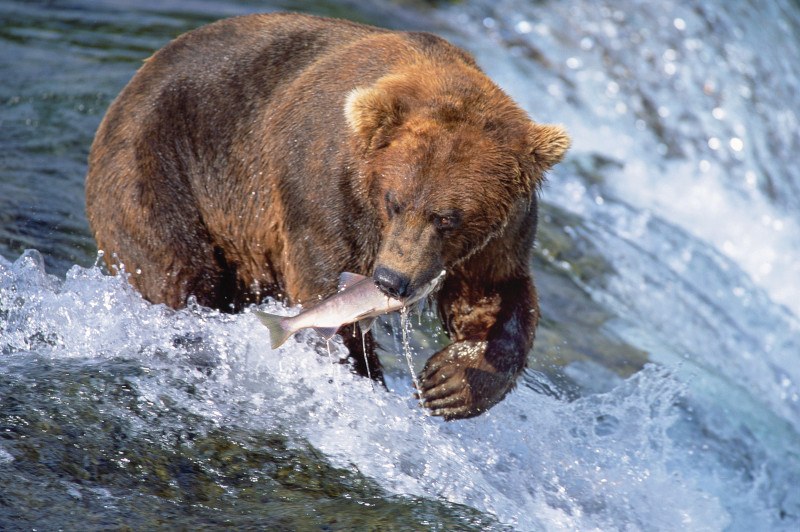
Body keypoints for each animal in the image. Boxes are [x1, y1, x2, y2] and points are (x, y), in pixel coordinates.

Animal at [85, 13, 570, 420]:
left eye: (448, 218)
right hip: (162, 172)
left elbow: (493, 295)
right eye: (395, 201)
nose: (391, 280)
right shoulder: (324, 192)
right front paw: (363, 378)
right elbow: (323, 288)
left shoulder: (500, 234)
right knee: (174, 272)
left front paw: (450, 383)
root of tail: (131, 84)